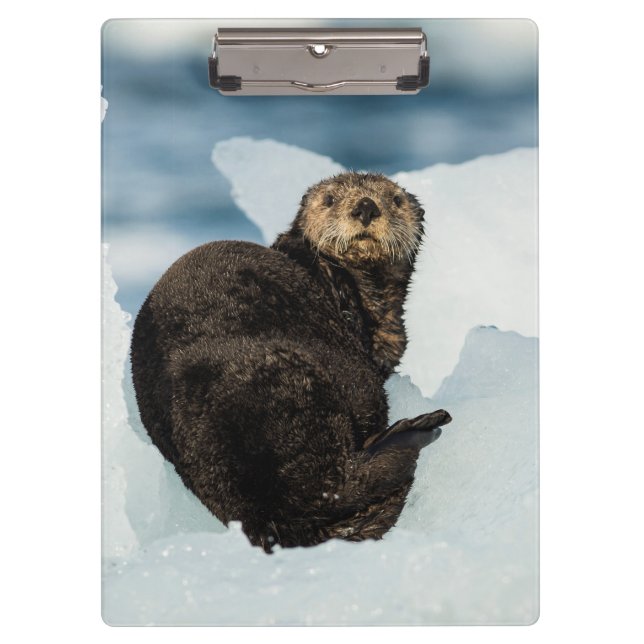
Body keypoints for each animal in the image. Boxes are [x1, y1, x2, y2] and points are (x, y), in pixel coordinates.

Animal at [130, 172, 451, 552]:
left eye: (395, 200)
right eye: (329, 199)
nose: (366, 207)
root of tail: (265, 514)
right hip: (305, 388)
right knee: (341, 482)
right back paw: (419, 428)